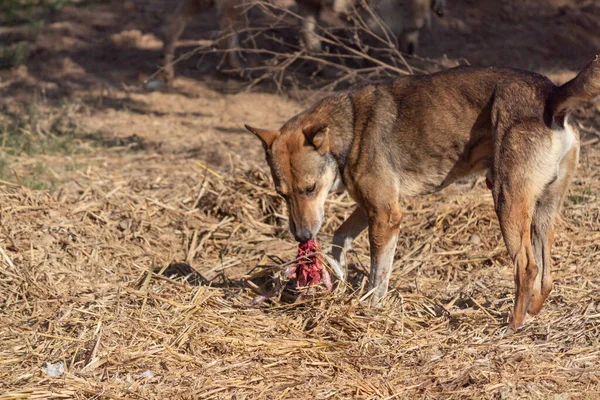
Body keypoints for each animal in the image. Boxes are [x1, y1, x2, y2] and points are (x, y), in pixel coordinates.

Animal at [246, 52, 600, 328]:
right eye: (281, 194)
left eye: (310, 188)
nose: (303, 237)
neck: (350, 127)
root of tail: (551, 93)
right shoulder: (369, 206)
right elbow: (339, 237)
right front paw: (337, 272)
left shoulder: (385, 215)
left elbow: (378, 274)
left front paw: (369, 308)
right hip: (541, 212)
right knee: (546, 275)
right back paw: (533, 311)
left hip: (507, 202)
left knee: (527, 267)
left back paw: (512, 325)